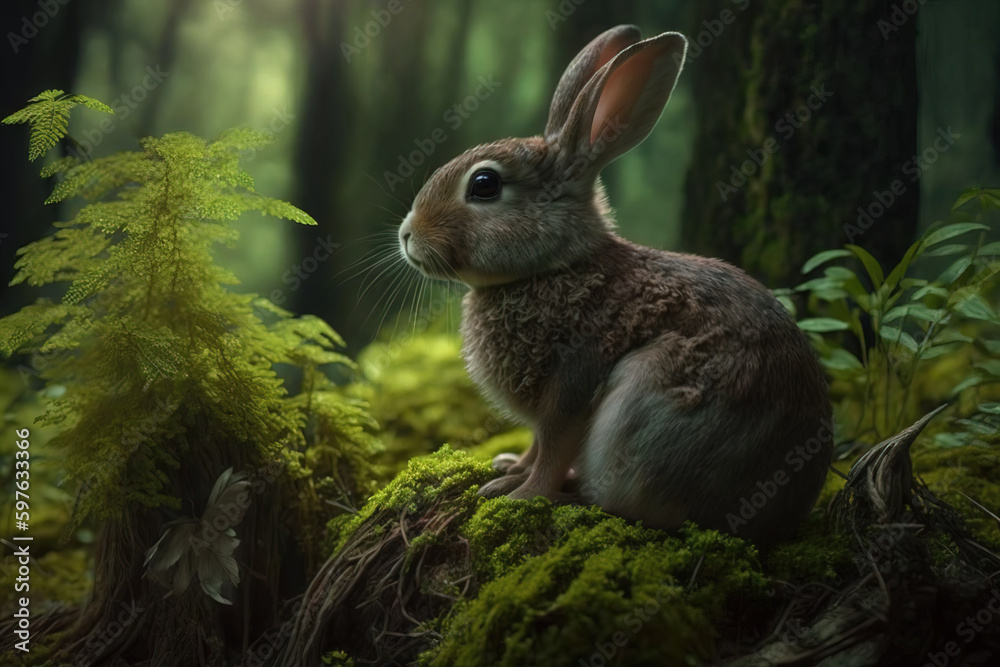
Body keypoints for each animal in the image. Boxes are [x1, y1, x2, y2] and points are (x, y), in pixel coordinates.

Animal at [396, 24, 832, 547]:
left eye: (483, 184)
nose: (406, 234)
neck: (553, 267)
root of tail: (785, 515)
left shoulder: (572, 384)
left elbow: (553, 449)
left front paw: (517, 495)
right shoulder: (545, 412)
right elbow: (535, 446)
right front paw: (508, 468)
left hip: (642, 406)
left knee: (629, 508)